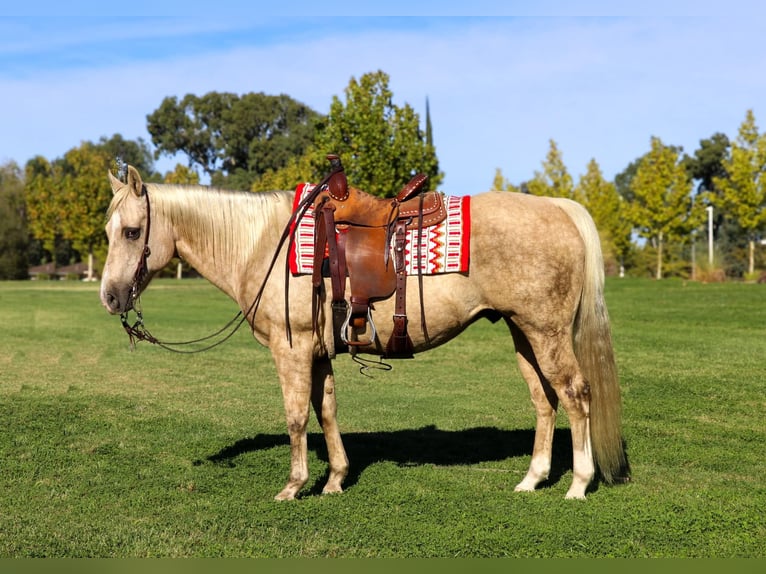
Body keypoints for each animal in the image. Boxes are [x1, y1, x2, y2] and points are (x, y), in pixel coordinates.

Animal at [102, 164, 632, 502]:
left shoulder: (291, 348)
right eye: (108, 232)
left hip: (546, 331)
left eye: (131, 232)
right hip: (523, 332)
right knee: (545, 400)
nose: (109, 296)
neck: (263, 243)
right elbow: (327, 411)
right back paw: (533, 479)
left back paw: (578, 484)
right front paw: (335, 479)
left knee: (576, 394)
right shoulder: (319, 351)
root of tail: (559, 207)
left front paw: (294, 486)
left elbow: (297, 416)